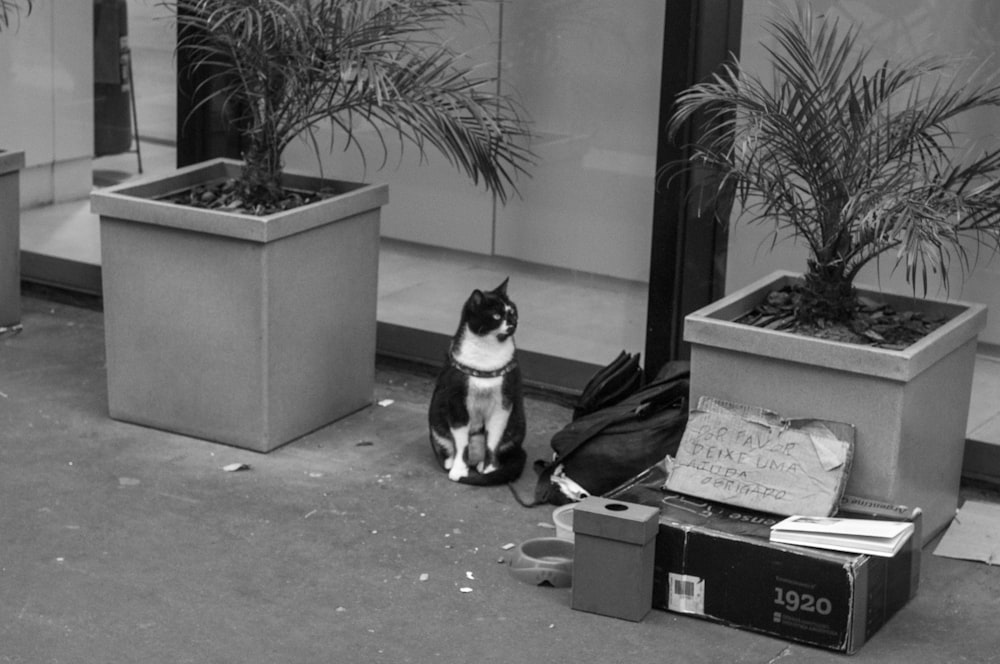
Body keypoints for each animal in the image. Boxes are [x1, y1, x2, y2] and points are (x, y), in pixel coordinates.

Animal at [426, 278, 528, 486]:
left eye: (513, 312)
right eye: (497, 315)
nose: (513, 322)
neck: (487, 353)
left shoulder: (503, 404)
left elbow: (493, 440)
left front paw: (490, 469)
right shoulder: (456, 402)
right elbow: (460, 442)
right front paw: (458, 469)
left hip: (518, 422)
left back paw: (482, 465)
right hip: (435, 416)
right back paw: (450, 461)